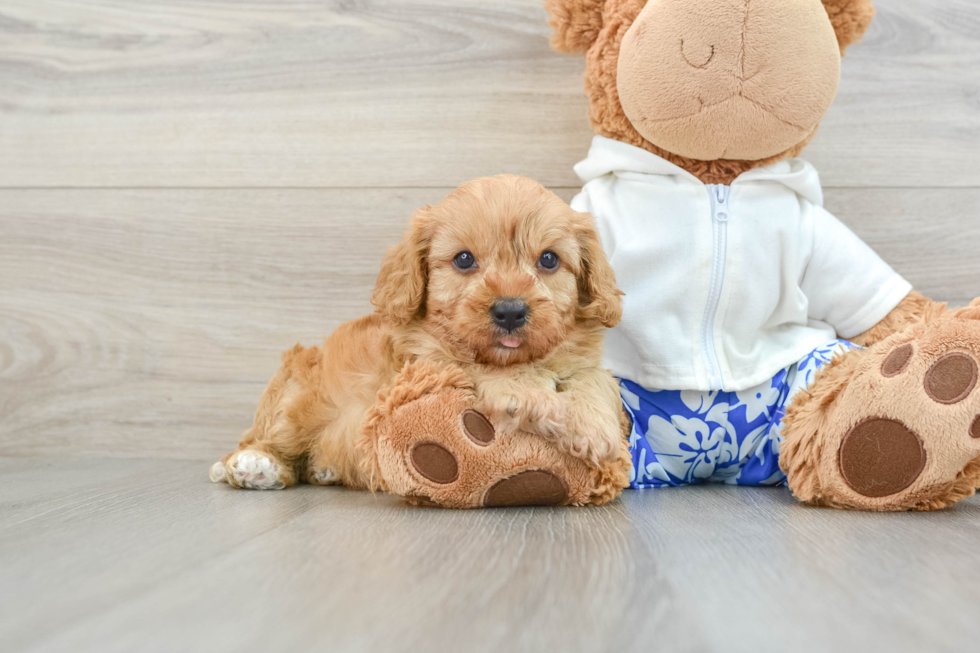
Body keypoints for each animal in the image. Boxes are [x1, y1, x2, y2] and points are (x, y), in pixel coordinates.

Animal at [210, 176, 624, 492]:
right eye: (463, 259)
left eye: (549, 259)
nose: (510, 311)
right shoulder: (429, 360)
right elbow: (485, 367)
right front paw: (533, 397)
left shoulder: (585, 361)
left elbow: (596, 381)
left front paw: (595, 428)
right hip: (293, 399)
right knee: (259, 440)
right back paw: (254, 465)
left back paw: (321, 467)